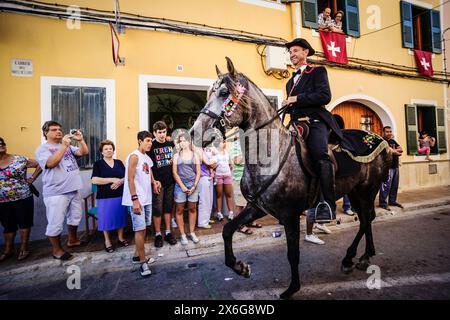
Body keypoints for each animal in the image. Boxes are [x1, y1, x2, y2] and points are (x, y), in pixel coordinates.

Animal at [191, 58, 394, 300]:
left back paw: (356, 256)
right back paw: (358, 257)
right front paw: (240, 267)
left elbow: (293, 253)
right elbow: (228, 230)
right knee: (365, 219)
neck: (272, 154)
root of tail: (382, 141)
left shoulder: (289, 215)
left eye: (223, 93)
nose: (194, 133)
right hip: (354, 192)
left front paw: (292, 288)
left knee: (366, 218)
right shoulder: (257, 207)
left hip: (367, 190)